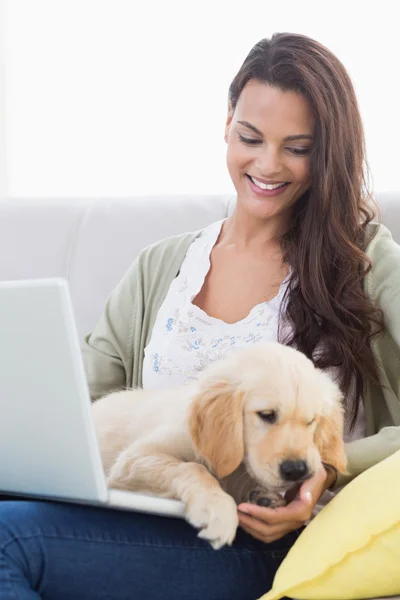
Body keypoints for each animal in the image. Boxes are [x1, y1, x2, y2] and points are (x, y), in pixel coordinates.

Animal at [93, 342, 346, 548]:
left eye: (311, 421)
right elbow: (194, 467)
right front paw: (216, 508)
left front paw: (263, 496)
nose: (296, 470)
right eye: (267, 415)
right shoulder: (132, 460)